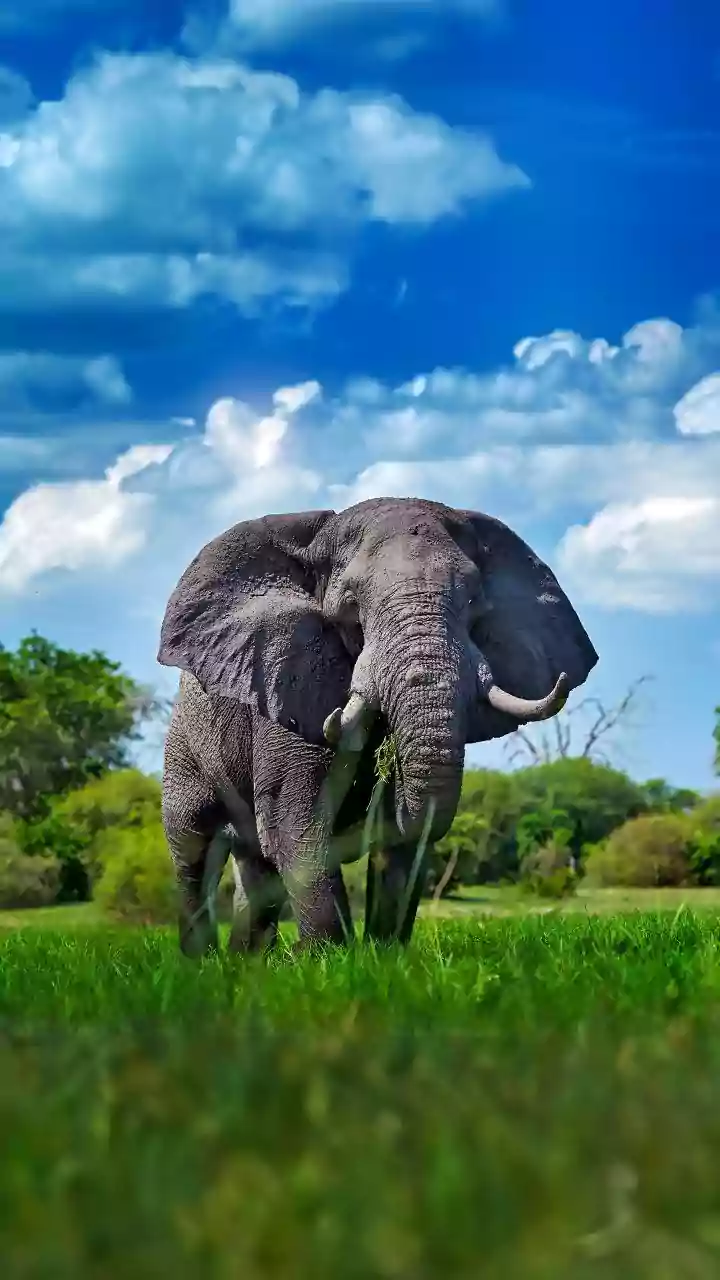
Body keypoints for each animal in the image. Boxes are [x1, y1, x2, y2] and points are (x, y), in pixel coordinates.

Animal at [157, 496, 598, 957]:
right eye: (350, 605)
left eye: (475, 602)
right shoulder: (287, 687)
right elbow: (294, 825)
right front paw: (327, 960)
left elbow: (401, 845)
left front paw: (381, 958)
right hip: (185, 747)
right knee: (193, 847)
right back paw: (203, 963)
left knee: (256, 869)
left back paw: (246, 964)